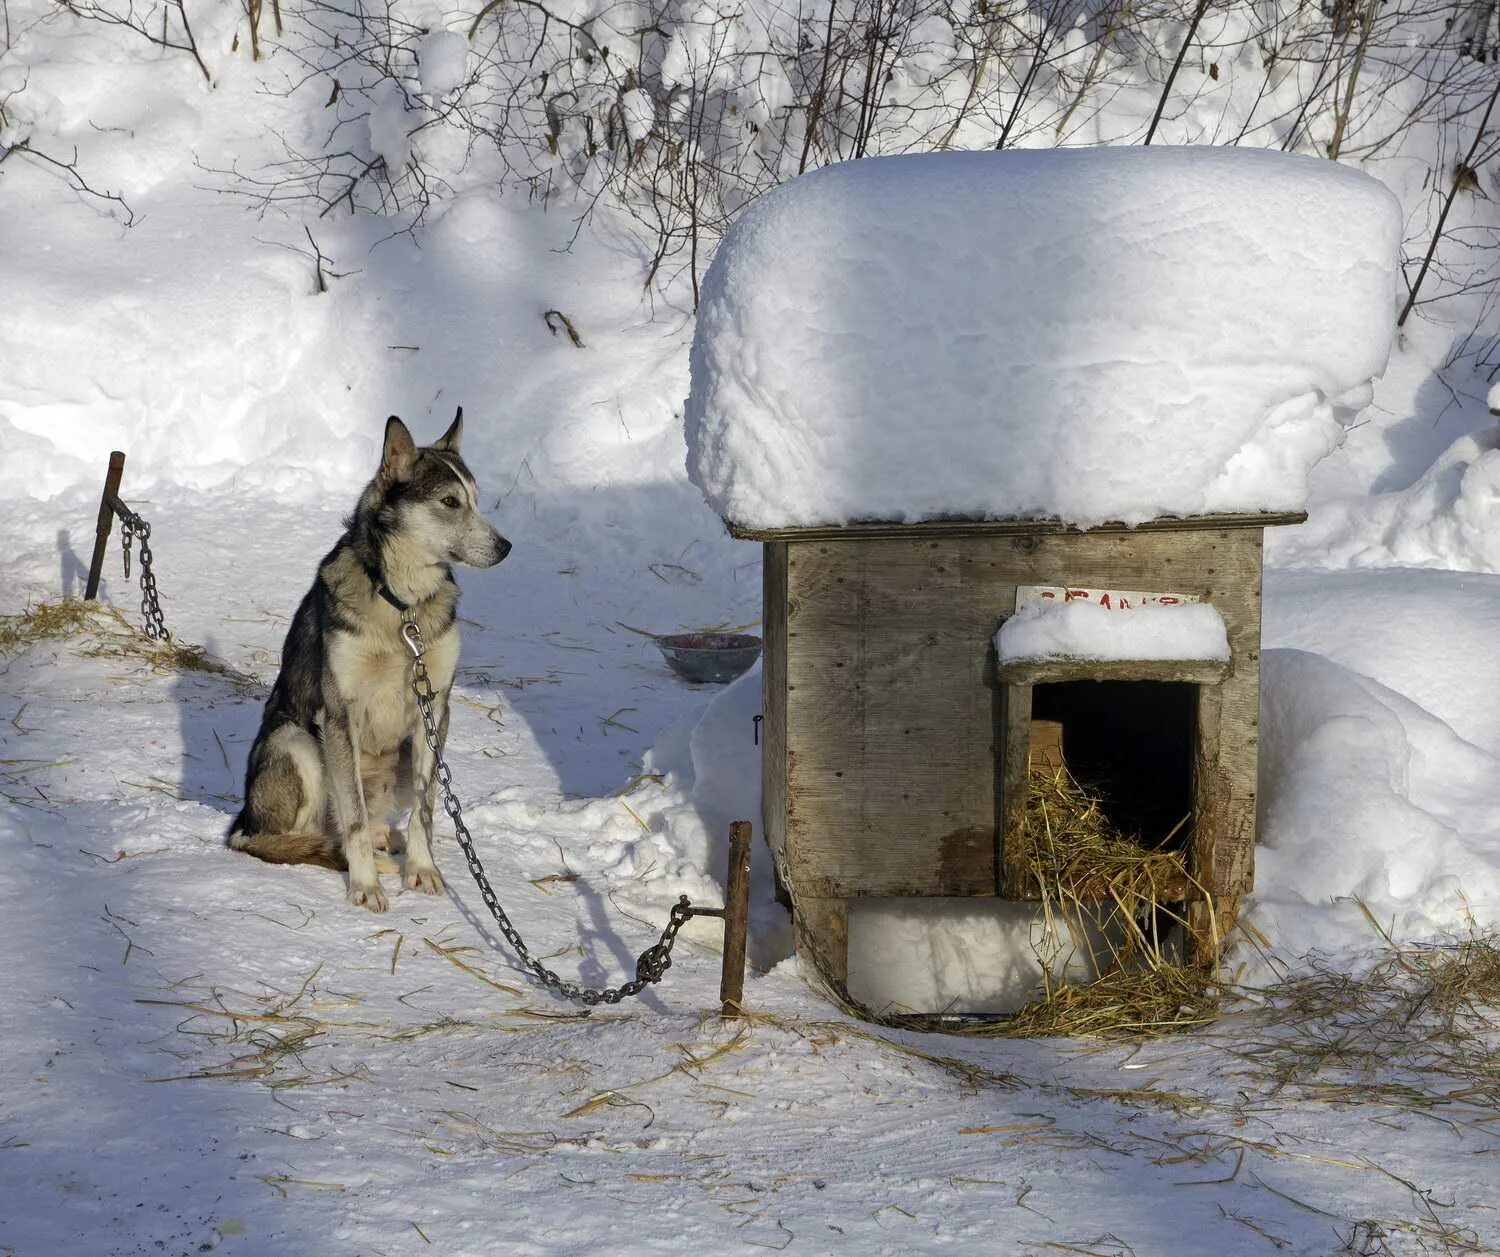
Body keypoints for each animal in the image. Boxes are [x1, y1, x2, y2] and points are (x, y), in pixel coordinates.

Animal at [226, 414, 510, 918]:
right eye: (449, 502)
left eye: (477, 499)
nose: (506, 546)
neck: (402, 605)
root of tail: (244, 821)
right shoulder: (341, 712)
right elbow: (354, 820)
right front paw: (364, 886)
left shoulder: (435, 708)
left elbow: (426, 811)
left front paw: (422, 869)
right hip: (299, 743)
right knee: (302, 835)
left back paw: (385, 839)